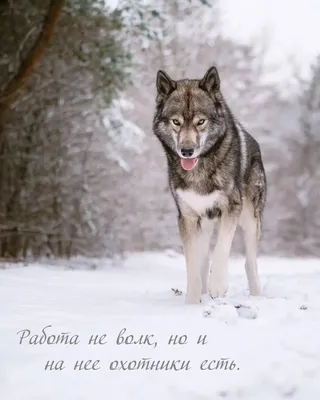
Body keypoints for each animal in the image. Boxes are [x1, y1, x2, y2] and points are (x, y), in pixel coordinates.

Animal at [151, 65, 266, 304]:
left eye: (200, 121)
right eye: (176, 122)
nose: (186, 151)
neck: (200, 170)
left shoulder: (232, 208)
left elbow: (222, 249)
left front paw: (218, 287)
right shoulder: (186, 218)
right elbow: (193, 266)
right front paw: (192, 303)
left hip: (250, 220)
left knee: (249, 263)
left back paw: (256, 296)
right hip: (203, 224)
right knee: (203, 261)